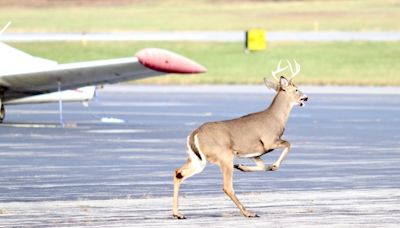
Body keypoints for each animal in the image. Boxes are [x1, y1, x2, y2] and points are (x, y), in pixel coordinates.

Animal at [173, 59, 310, 218]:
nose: (306, 97)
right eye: (296, 89)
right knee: (226, 186)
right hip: (223, 156)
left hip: (197, 159)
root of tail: (194, 134)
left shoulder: (254, 152)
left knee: (178, 173)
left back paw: (177, 214)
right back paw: (248, 212)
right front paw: (274, 165)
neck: (276, 118)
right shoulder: (269, 141)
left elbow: (262, 166)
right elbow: (288, 144)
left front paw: (241, 166)